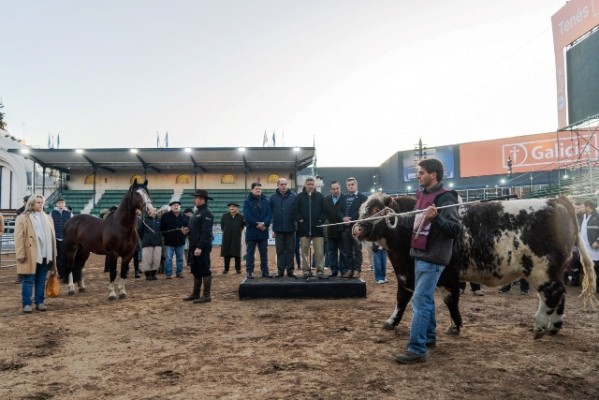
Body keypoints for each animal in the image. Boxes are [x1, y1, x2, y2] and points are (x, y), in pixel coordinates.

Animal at [354, 192, 596, 340]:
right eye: (361, 210)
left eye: (376, 209)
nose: (356, 228)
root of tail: (557, 201)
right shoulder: (406, 274)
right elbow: (402, 299)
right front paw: (391, 321)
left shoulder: (446, 276)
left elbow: (450, 300)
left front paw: (455, 326)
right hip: (554, 270)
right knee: (560, 293)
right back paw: (554, 326)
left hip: (541, 269)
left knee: (552, 293)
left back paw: (539, 326)